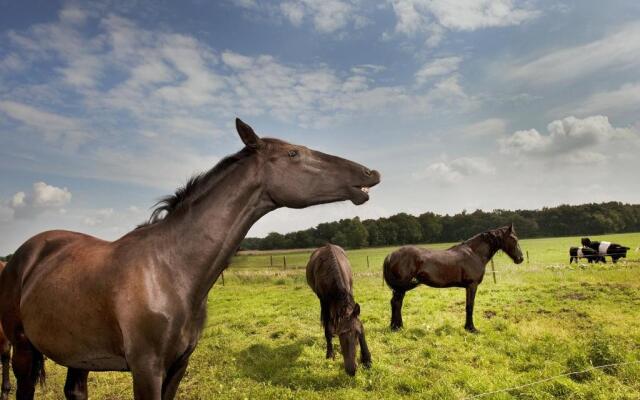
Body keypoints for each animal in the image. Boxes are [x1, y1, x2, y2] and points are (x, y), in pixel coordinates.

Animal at [304, 242, 370, 376]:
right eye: (341, 334)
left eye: (357, 334)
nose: (351, 370)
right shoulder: (324, 301)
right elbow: (327, 330)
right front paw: (330, 353)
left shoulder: (350, 292)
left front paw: (367, 360)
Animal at [382, 225, 524, 332]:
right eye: (513, 238)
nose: (520, 258)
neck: (474, 253)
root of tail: (390, 255)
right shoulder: (472, 285)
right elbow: (470, 306)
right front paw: (471, 329)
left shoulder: (468, 286)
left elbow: (468, 305)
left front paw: (468, 327)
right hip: (400, 288)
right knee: (396, 303)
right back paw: (396, 327)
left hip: (400, 288)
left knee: (396, 303)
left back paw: (397, 326)